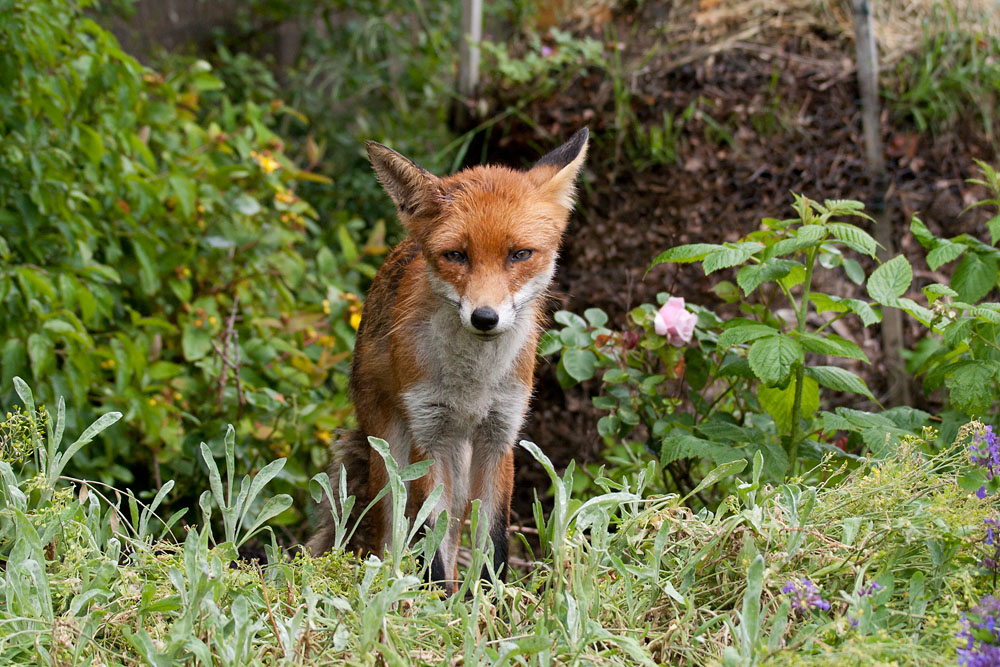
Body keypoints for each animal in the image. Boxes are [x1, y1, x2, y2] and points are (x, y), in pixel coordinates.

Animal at [307, 128, 588, 592]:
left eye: (520, 254)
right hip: (393, 451)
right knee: (391, 532)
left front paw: (490, 602)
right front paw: (438, 602)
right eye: (456, 255)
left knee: (455, 527)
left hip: (460, 465)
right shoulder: (430, 436)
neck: (473, 382)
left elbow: (493, 541)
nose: (485, 317)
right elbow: (429, 540)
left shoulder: (499, 436)